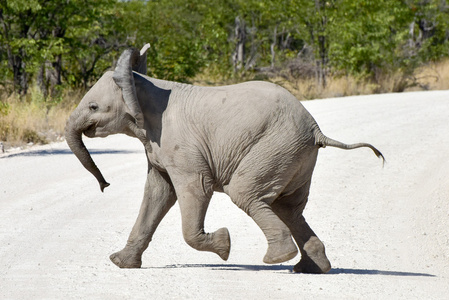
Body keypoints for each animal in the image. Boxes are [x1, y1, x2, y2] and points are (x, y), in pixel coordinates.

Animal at [65, 43, 384, 274]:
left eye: (93, 107)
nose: (105, 185)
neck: (143, 84)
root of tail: (317, 130)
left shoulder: (182, 147)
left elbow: (196, 189)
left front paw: (225, 246)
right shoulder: (157, 147)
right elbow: (157, 193)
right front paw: (120, 263)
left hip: (276, 145)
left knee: (245, 192)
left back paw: (277, 259)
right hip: (294, 155)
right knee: (287, 207)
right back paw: (310, 268)